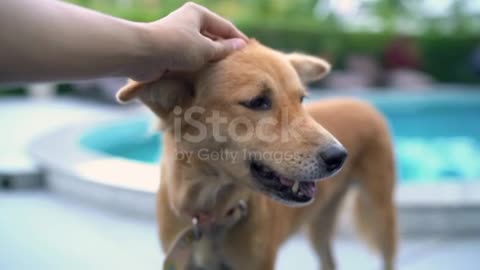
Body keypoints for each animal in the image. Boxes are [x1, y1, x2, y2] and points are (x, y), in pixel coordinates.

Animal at [117, 40, 398, 270]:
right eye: (258, 102)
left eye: (301, 100)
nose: (339, 157)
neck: (211, 214)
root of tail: (362, 102)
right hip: (320, 225)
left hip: (380, 212)